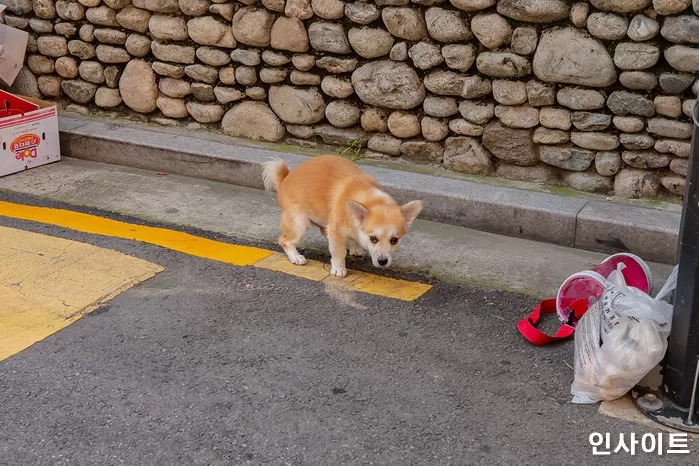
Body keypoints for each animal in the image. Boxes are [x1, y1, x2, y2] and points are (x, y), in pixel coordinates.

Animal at [262, 155, 424, 276]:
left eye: (394, 240)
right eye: (373, 239)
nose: (383, 261)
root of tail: (284, 180)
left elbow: (353, 240)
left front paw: (355, 247)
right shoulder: (336, 231)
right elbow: (338, 252)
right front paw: (339, 268)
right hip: (298, 223)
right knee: (285, 240)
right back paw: (295, 256)